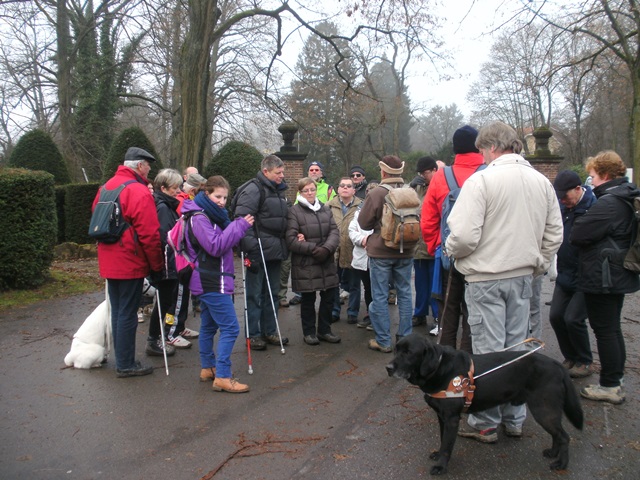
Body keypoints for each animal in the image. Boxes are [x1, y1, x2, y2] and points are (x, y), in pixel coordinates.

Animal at [384, 334, 584, 476]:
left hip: (544, 410)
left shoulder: (451, 419)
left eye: (409, 352)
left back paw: (561, 463)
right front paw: (438, 454)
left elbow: (448, 445)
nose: (388, 368)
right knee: (557, 434)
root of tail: (557, 365)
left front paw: (441, 466)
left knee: (564, 436)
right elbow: (442, 440)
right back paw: (552, 453)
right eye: (396, 350)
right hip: (547, 411)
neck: (440, 368)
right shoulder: (441, 417)